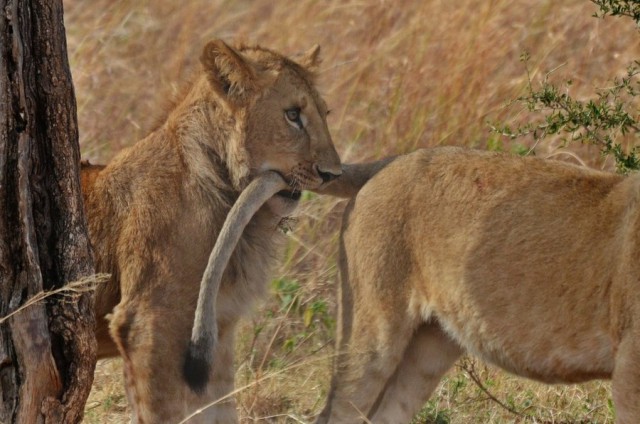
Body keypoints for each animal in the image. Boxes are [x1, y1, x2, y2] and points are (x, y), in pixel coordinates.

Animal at [80, 40, 342, 424]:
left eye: (326, 112)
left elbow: (221, 408)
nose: (333, 174)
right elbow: (163, 412)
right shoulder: (146, 323)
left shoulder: (218, 328)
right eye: (293, 114)